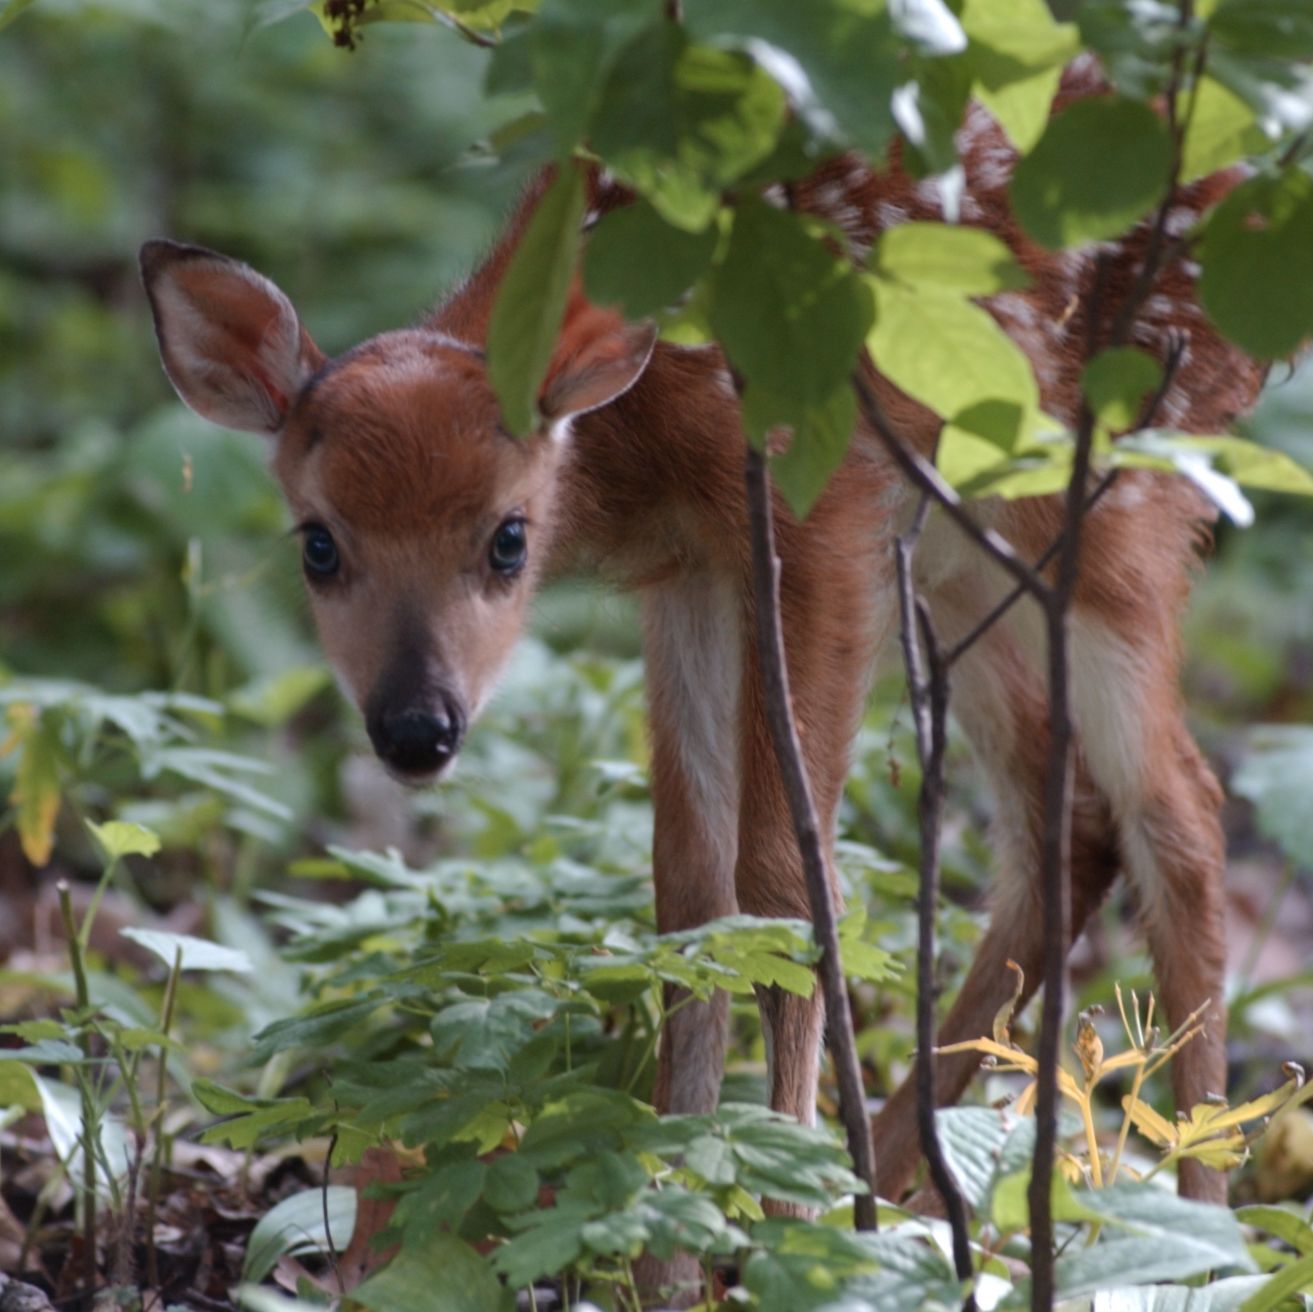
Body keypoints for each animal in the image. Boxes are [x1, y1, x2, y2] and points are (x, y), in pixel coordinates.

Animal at [140, 62, 1266, 1239]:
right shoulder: (689, 570)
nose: (415, 727)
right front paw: (679, 1193)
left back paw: (1199, 1219)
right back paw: (908, 1175)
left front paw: (783, 1203)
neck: (647, 435)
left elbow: (785, 873)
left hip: (1117, 494)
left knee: (1181, 813)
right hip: (974, 547)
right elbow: (689, 883)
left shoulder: (821, 511)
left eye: (508, 537)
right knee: (1072, 821)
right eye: (317, 543)